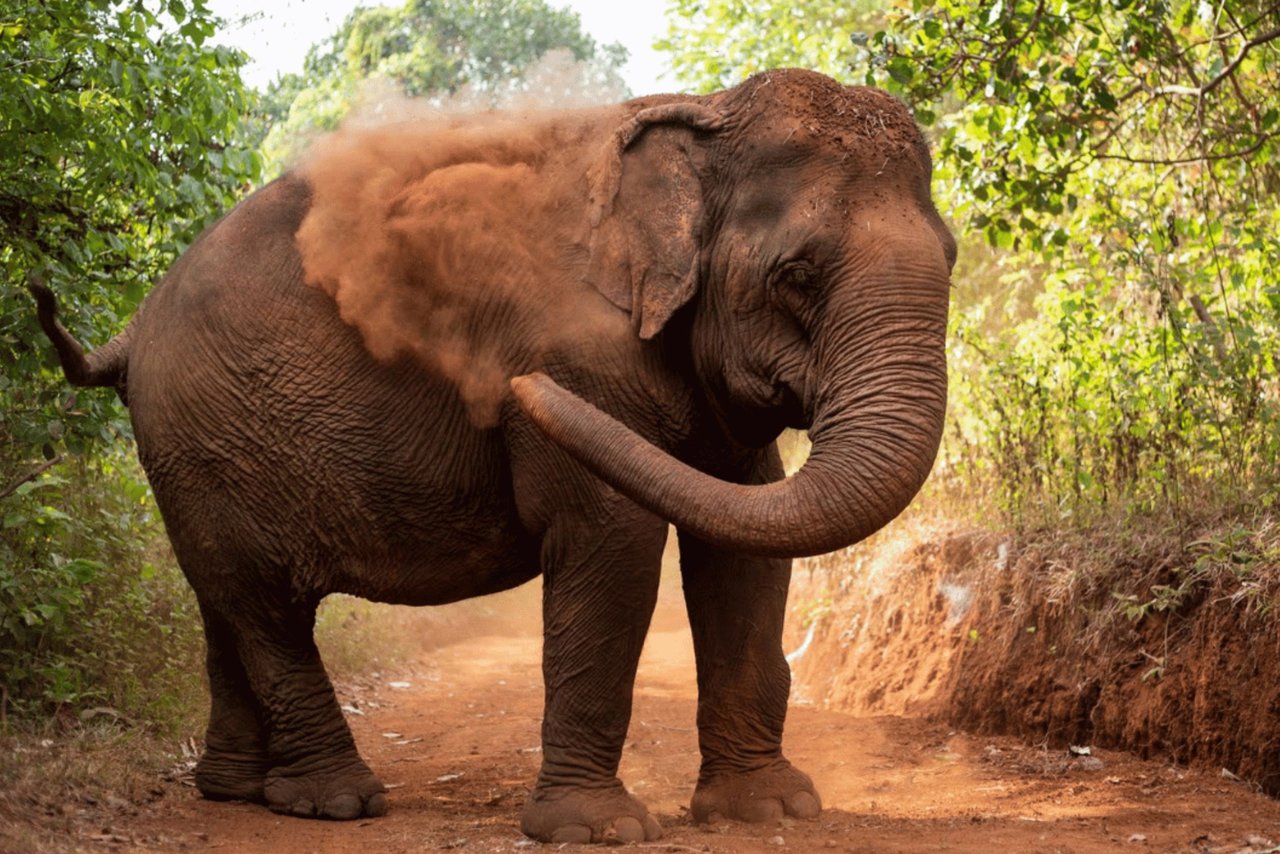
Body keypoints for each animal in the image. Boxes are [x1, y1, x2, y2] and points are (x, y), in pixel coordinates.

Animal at [30, 70, 957, 845]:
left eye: (951, 259)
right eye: (797, 274)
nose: (512, 386)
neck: (700, 116)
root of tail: (129, 334)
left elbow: (742, 544)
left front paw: (769, 812)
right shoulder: (576, 350)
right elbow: (611, 538)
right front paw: (595, 832)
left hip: (195, 449)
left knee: (222, 600)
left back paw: (235, 792)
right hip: (211, 434)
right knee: (266, 605)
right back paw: (333, 802)